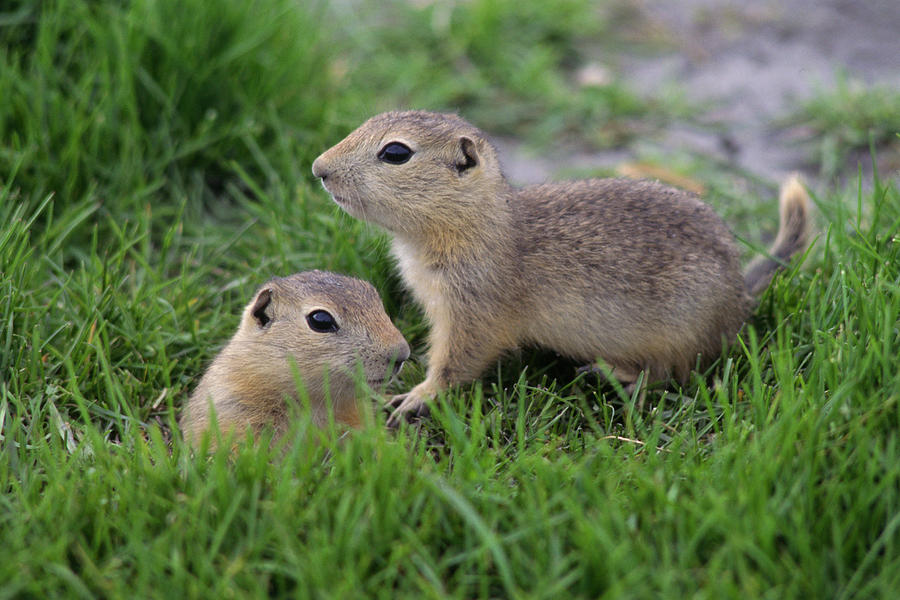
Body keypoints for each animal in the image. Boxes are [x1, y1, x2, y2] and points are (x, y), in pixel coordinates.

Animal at [310, 110, 808, 424]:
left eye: (395, 153)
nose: (318, 168)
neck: (479, 223)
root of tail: (741, 294)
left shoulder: (475, 310)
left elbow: (457, 360)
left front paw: (415, 398)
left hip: (680, 335)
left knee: (672, 374)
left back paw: (612, 374)